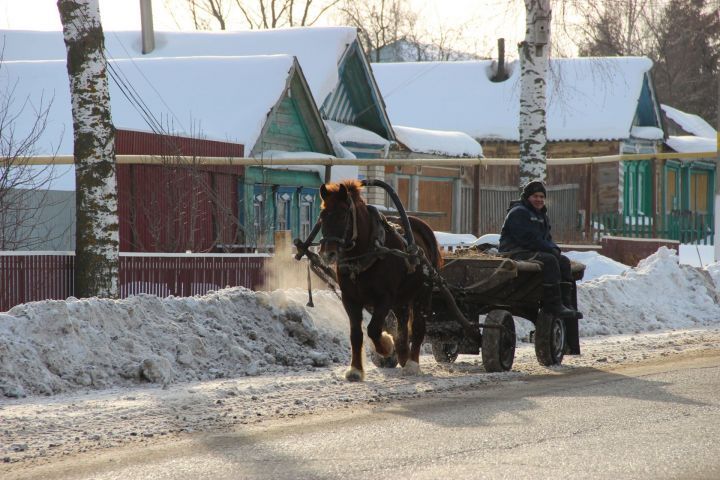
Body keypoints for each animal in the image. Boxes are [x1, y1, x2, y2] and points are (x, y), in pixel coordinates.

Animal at [320, 178, 442, 380]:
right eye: (322, 216)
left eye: (343, 215)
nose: (327, 253)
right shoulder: (349, 299)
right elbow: (356, 334)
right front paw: (355, 370)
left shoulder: (385, 298)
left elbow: (373, 328)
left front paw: (386, 346)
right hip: (402, 299)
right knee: (403, 322)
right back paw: (403, 354)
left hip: (422, 294)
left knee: (418, 327)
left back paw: (412, 364)